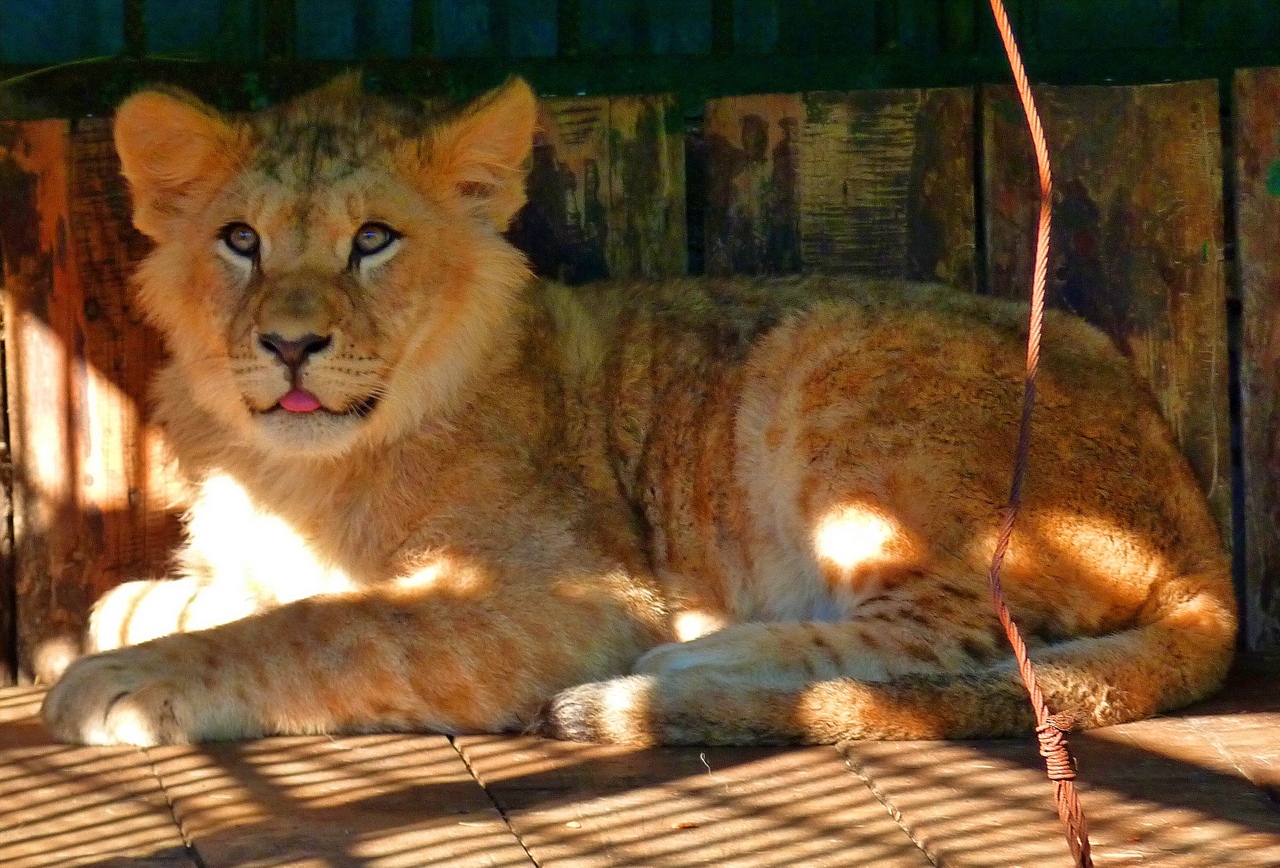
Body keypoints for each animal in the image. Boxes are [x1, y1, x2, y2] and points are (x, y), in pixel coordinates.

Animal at [41, 76, 1235, 747]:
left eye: (372, 239)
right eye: (239, 240)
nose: (290, 343)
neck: (296, 469)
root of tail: (1195, 526)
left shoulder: (575, 596)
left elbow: (328, 624)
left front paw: (122, 684)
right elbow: (222, 598)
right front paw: (139, 614)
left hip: (832, 370)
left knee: (957, 645)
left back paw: (685, 667)